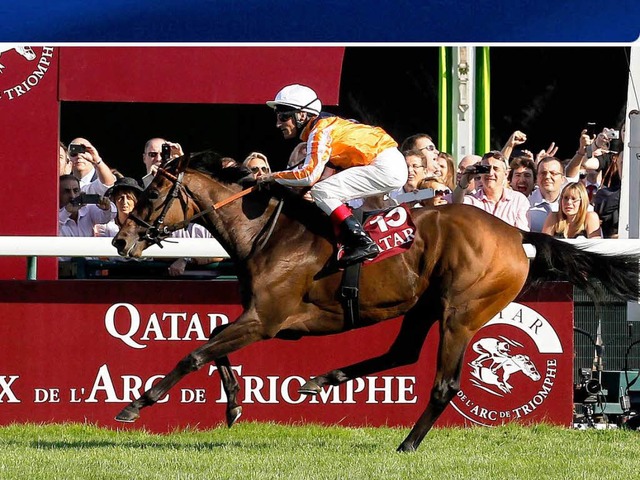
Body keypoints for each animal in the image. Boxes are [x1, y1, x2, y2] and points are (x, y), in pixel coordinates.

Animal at [112, 152, 636, 452]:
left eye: (153, 192)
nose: (121, 240)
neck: (267, 232)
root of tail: (514, 233)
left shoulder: (268, 319)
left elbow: (196, 352)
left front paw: (138, 405)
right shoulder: (261, 316)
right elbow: (212, 341)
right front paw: (234, 405)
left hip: (462, 313)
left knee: (444, 384)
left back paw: (407, 444)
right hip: (424, 307)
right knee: (401, 352)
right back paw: (323, 380)